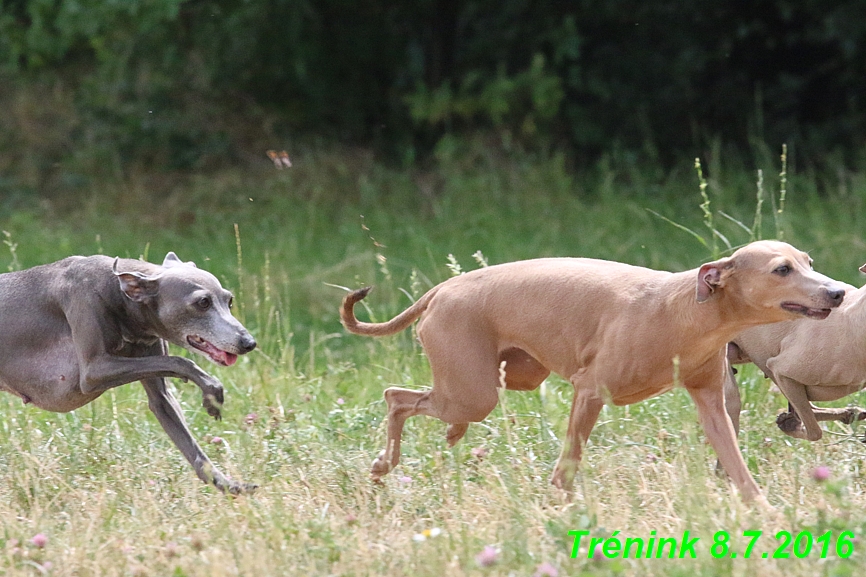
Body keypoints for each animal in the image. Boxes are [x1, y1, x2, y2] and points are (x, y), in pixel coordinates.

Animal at [0, 251, 256, 490]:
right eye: (202, 302)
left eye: (229, 300)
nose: (249, 343)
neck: (119, 295)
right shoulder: (94, 369)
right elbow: (181, 362)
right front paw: (211, 391)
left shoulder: (161, 395)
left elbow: (188, 441)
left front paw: (228, 484)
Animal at [340, 240, 844, 500]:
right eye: (781, 269)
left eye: (809, 263)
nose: (838, 292)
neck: (682, 310)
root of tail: (442, 288)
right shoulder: (590, 392)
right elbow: (568, 465)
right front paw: (561, 507)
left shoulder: (711, 404)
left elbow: (738, 468)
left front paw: (762, 513)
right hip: (474, 391)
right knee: (396, 397)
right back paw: (384, 464)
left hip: (508, 377)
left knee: (423, 403)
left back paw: (445, 437)